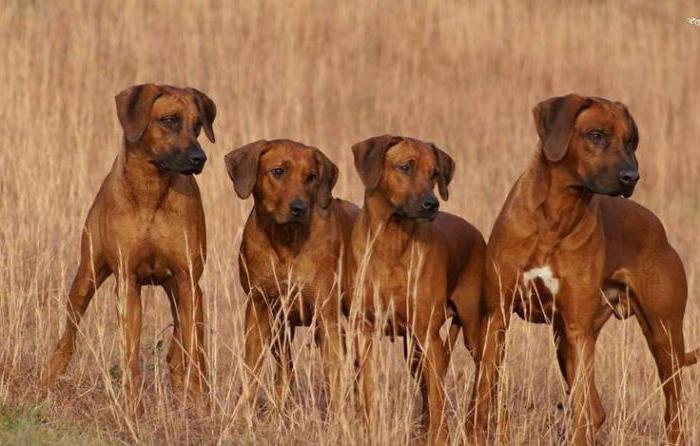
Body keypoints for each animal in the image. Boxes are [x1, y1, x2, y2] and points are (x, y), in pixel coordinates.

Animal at [43, 82, 216, 410]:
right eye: (170, 120)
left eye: (198, 124)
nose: (200, 158)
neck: (150, 190)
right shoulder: (127, 283)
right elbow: (130, 352)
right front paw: (131, 405)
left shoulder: (189, 282)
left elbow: (194, 349)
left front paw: (200, 400)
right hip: (86, 276)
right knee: (68, 335)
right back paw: (49, 376)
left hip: (181, 292)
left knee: (180, 347)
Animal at [346, 136, 486, 446]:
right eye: (405, 166)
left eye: (435, 173)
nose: (431, 204)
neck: (391, 241)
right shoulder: (364, 331)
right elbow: (369, 391)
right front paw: (371, 430)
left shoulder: (428, 334)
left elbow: (437, 400)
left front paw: (440, 437)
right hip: (414, 351)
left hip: (475, 334)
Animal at [470, 95, 700, 446]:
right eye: (596, 135)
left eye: (630, 141)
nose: (632, 177)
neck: (555, 218)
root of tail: (659, 228)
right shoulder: (498, 316)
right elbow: (485, 389)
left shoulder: (578, 329)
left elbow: (580, 409)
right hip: (566, 340)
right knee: (596, 409)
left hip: (663, 338)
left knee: (669, 410)